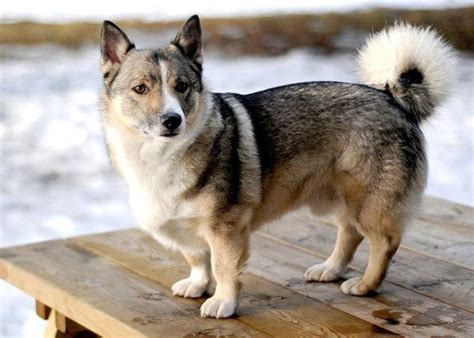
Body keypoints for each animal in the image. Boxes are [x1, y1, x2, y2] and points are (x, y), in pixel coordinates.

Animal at [99, 15, 456, 316]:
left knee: (384, 243)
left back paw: (366, 285)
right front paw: (198, 285)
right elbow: (197, 258)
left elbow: (223, 267)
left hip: (367, 201)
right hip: (340, 197)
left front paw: (223, 302)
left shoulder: (226, 228)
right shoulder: (194, 230)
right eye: (140, 89)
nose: (173, 120)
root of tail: (391, 97)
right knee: (350, 233)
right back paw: (330, 269)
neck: (158, 154)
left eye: (181, 86)